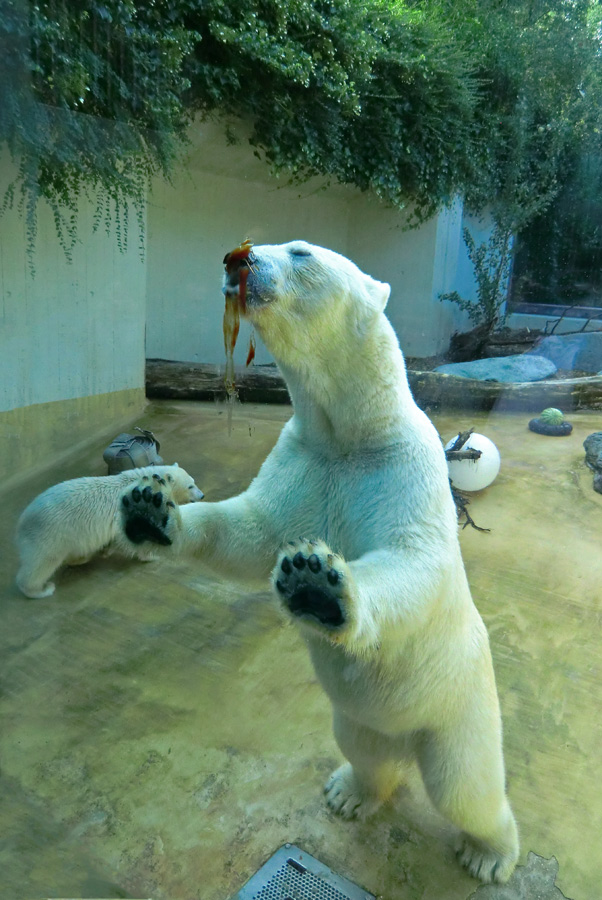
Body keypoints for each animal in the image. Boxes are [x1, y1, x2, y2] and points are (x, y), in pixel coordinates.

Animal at [120, 237, 516, 880]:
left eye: (300, 250)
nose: (237, 259)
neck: (351, 432)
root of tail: (408, 738)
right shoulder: (305, 457)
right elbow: (252, 530)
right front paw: (151, 513)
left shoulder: (405, 463)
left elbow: (413, 559)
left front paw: (319, 582)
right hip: (360, 716)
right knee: (365, 749)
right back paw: (351, 791)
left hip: (458, 709)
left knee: (467, 788)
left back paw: (488, 854)